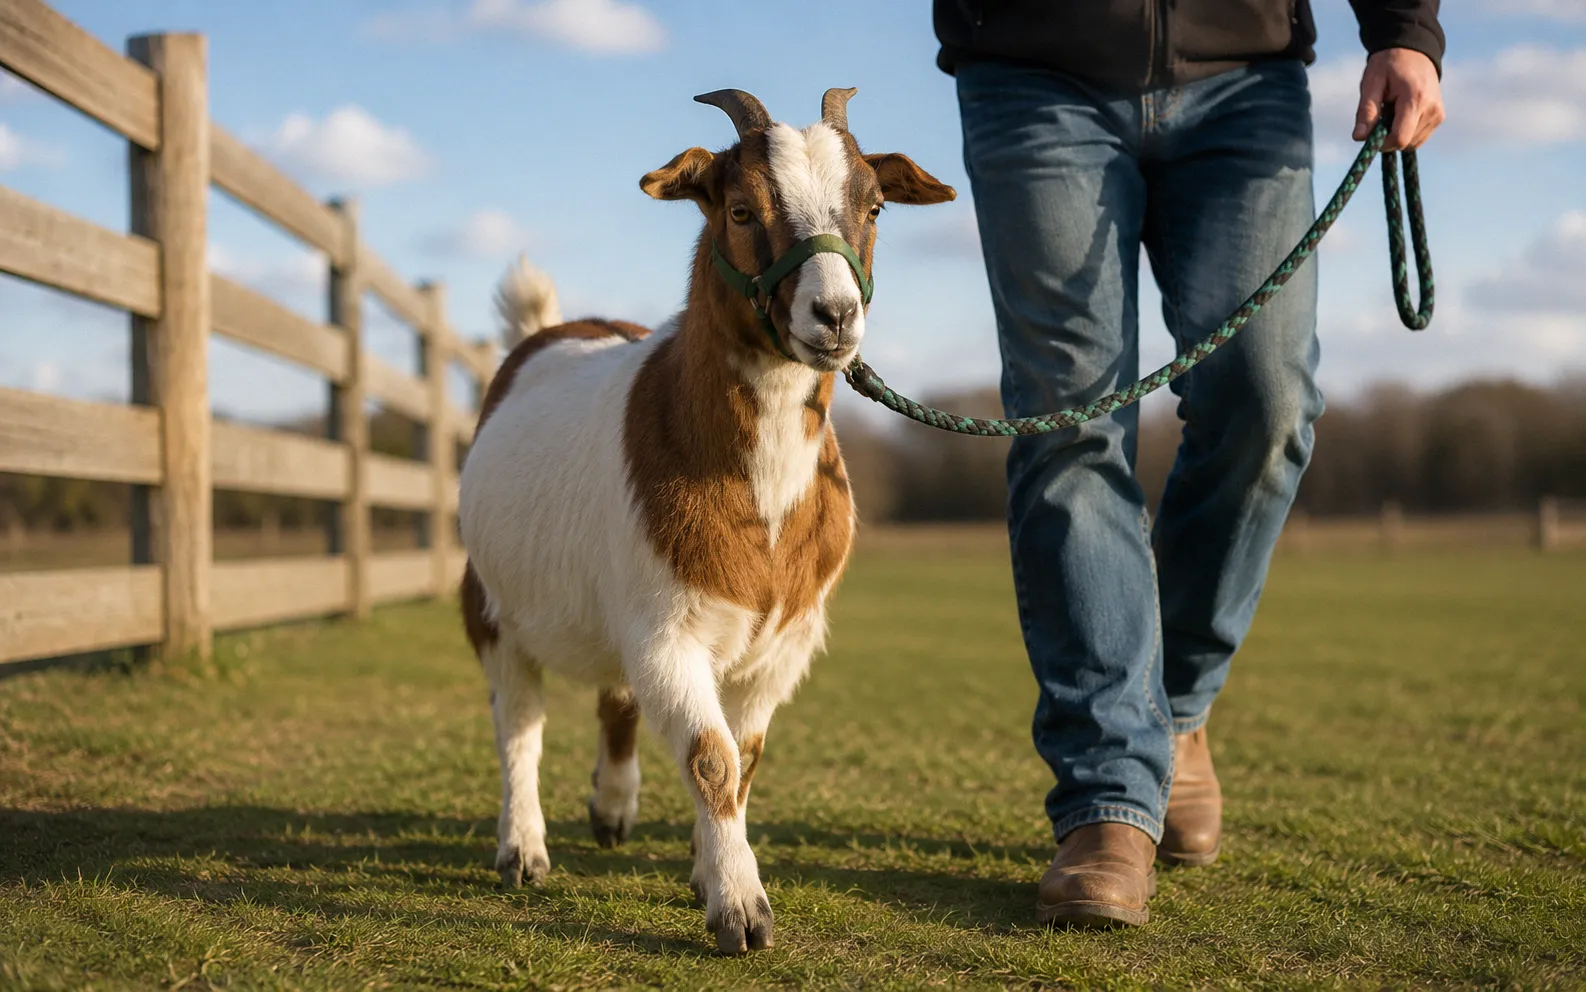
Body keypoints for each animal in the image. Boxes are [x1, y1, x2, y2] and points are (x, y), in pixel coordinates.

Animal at [457, 87, 955, 954]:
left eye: (875, 207)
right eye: (741, 209)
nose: (835, 314)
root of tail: (546, 333)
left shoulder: (777, 646)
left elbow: (743, 758)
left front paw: (707, 869)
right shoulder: (667, 633)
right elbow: (710, 758)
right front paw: (741, 908)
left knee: (614, 699)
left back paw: (612, 806)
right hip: (489, 603)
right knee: (518, 721)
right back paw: (522, 848)